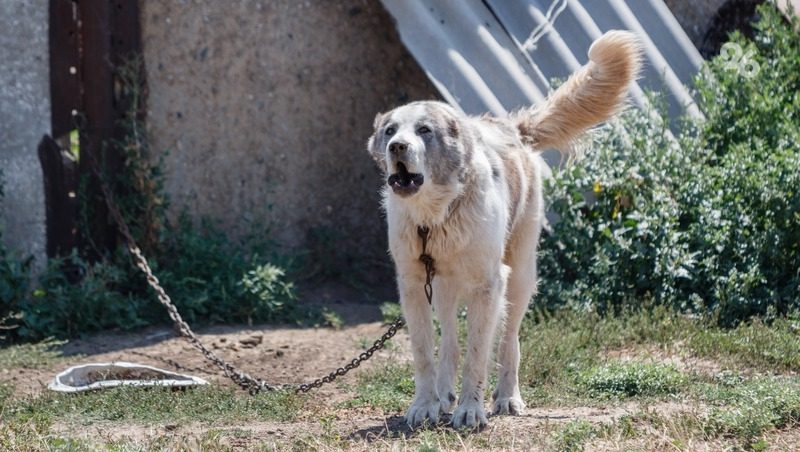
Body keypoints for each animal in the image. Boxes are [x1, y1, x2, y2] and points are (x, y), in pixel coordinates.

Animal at [368, 31, 644, 428]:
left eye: (424, 131)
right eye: (390, 131)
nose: (397, 146)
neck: (437, 216)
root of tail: (513, 128)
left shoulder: (488, 285)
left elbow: (478, 352)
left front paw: (471, 409)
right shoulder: (414, 284)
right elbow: (424, 352)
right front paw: (425, 405)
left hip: (520, 275)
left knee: (509, 339)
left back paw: (507, 397)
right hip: (443, 287)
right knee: (449, 340)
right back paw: (444, 394)